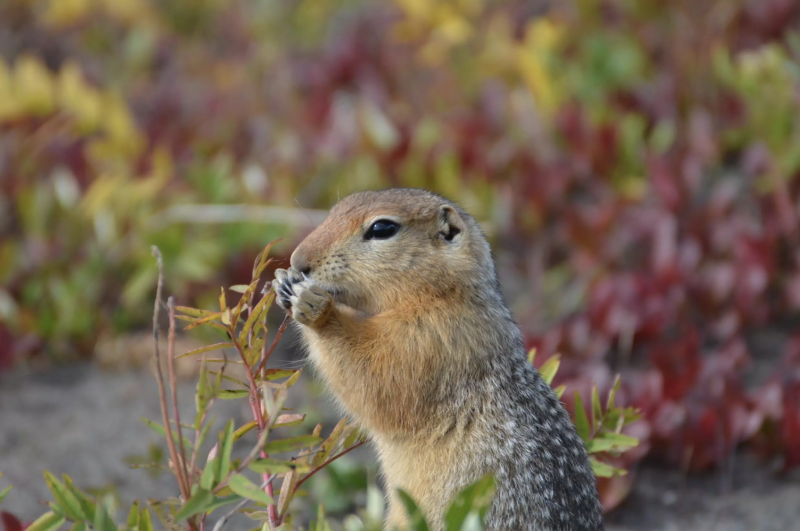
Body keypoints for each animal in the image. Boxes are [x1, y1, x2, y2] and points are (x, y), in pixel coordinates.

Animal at [272, 188, 603, 531]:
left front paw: (314, 306)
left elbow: (377, 376)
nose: (298, 261)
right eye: (337, 208)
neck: (444, 295)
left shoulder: (433, 338)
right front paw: (283, 281)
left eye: (382, 228)